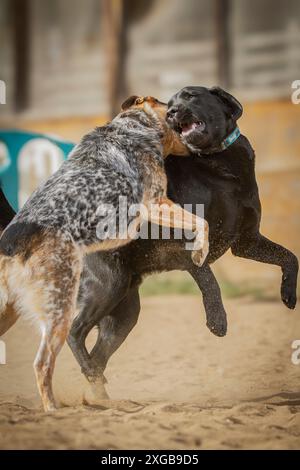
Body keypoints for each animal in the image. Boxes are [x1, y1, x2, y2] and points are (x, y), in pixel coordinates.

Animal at [0, 96, 209, 412]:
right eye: (172, 103)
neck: (133, 126)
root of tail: (10, 243)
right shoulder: (156, 203)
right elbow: (202, 222)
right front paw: (199, 251)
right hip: (62, 309)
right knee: (45, 361)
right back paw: (53, 409)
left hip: (9, 311)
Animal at [67, 86, 298, 392]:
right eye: (170, 104)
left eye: (190, 95)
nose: (172, 113)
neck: (217, 163)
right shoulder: (187, 242)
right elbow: (209, 278)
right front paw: (217, 321)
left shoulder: (247, 241)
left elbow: (289, 256)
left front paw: (288, 294)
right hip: (107, 286)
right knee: (74, 331)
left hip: (123, 313)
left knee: (98, 354)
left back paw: (96, 391)